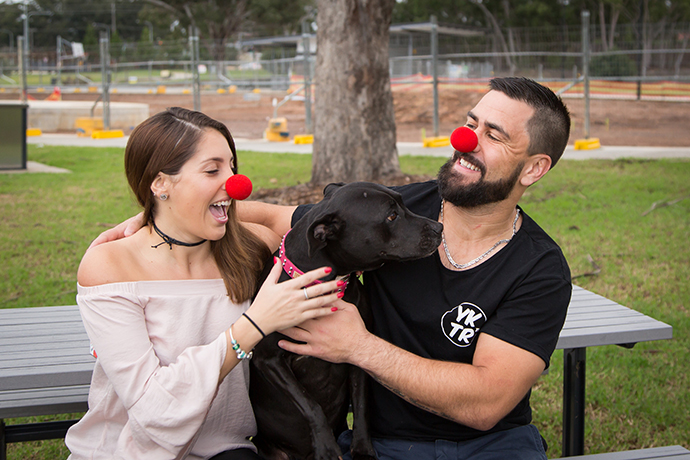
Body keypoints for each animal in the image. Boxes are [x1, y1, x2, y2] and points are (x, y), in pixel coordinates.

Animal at [247, 181, 440, 460]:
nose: (439, 228)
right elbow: (309, 403)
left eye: (403, 203)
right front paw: (327, 447)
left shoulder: (358, 352)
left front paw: (362, 449)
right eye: (391, 216)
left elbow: (360, 405)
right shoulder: (268, 359)